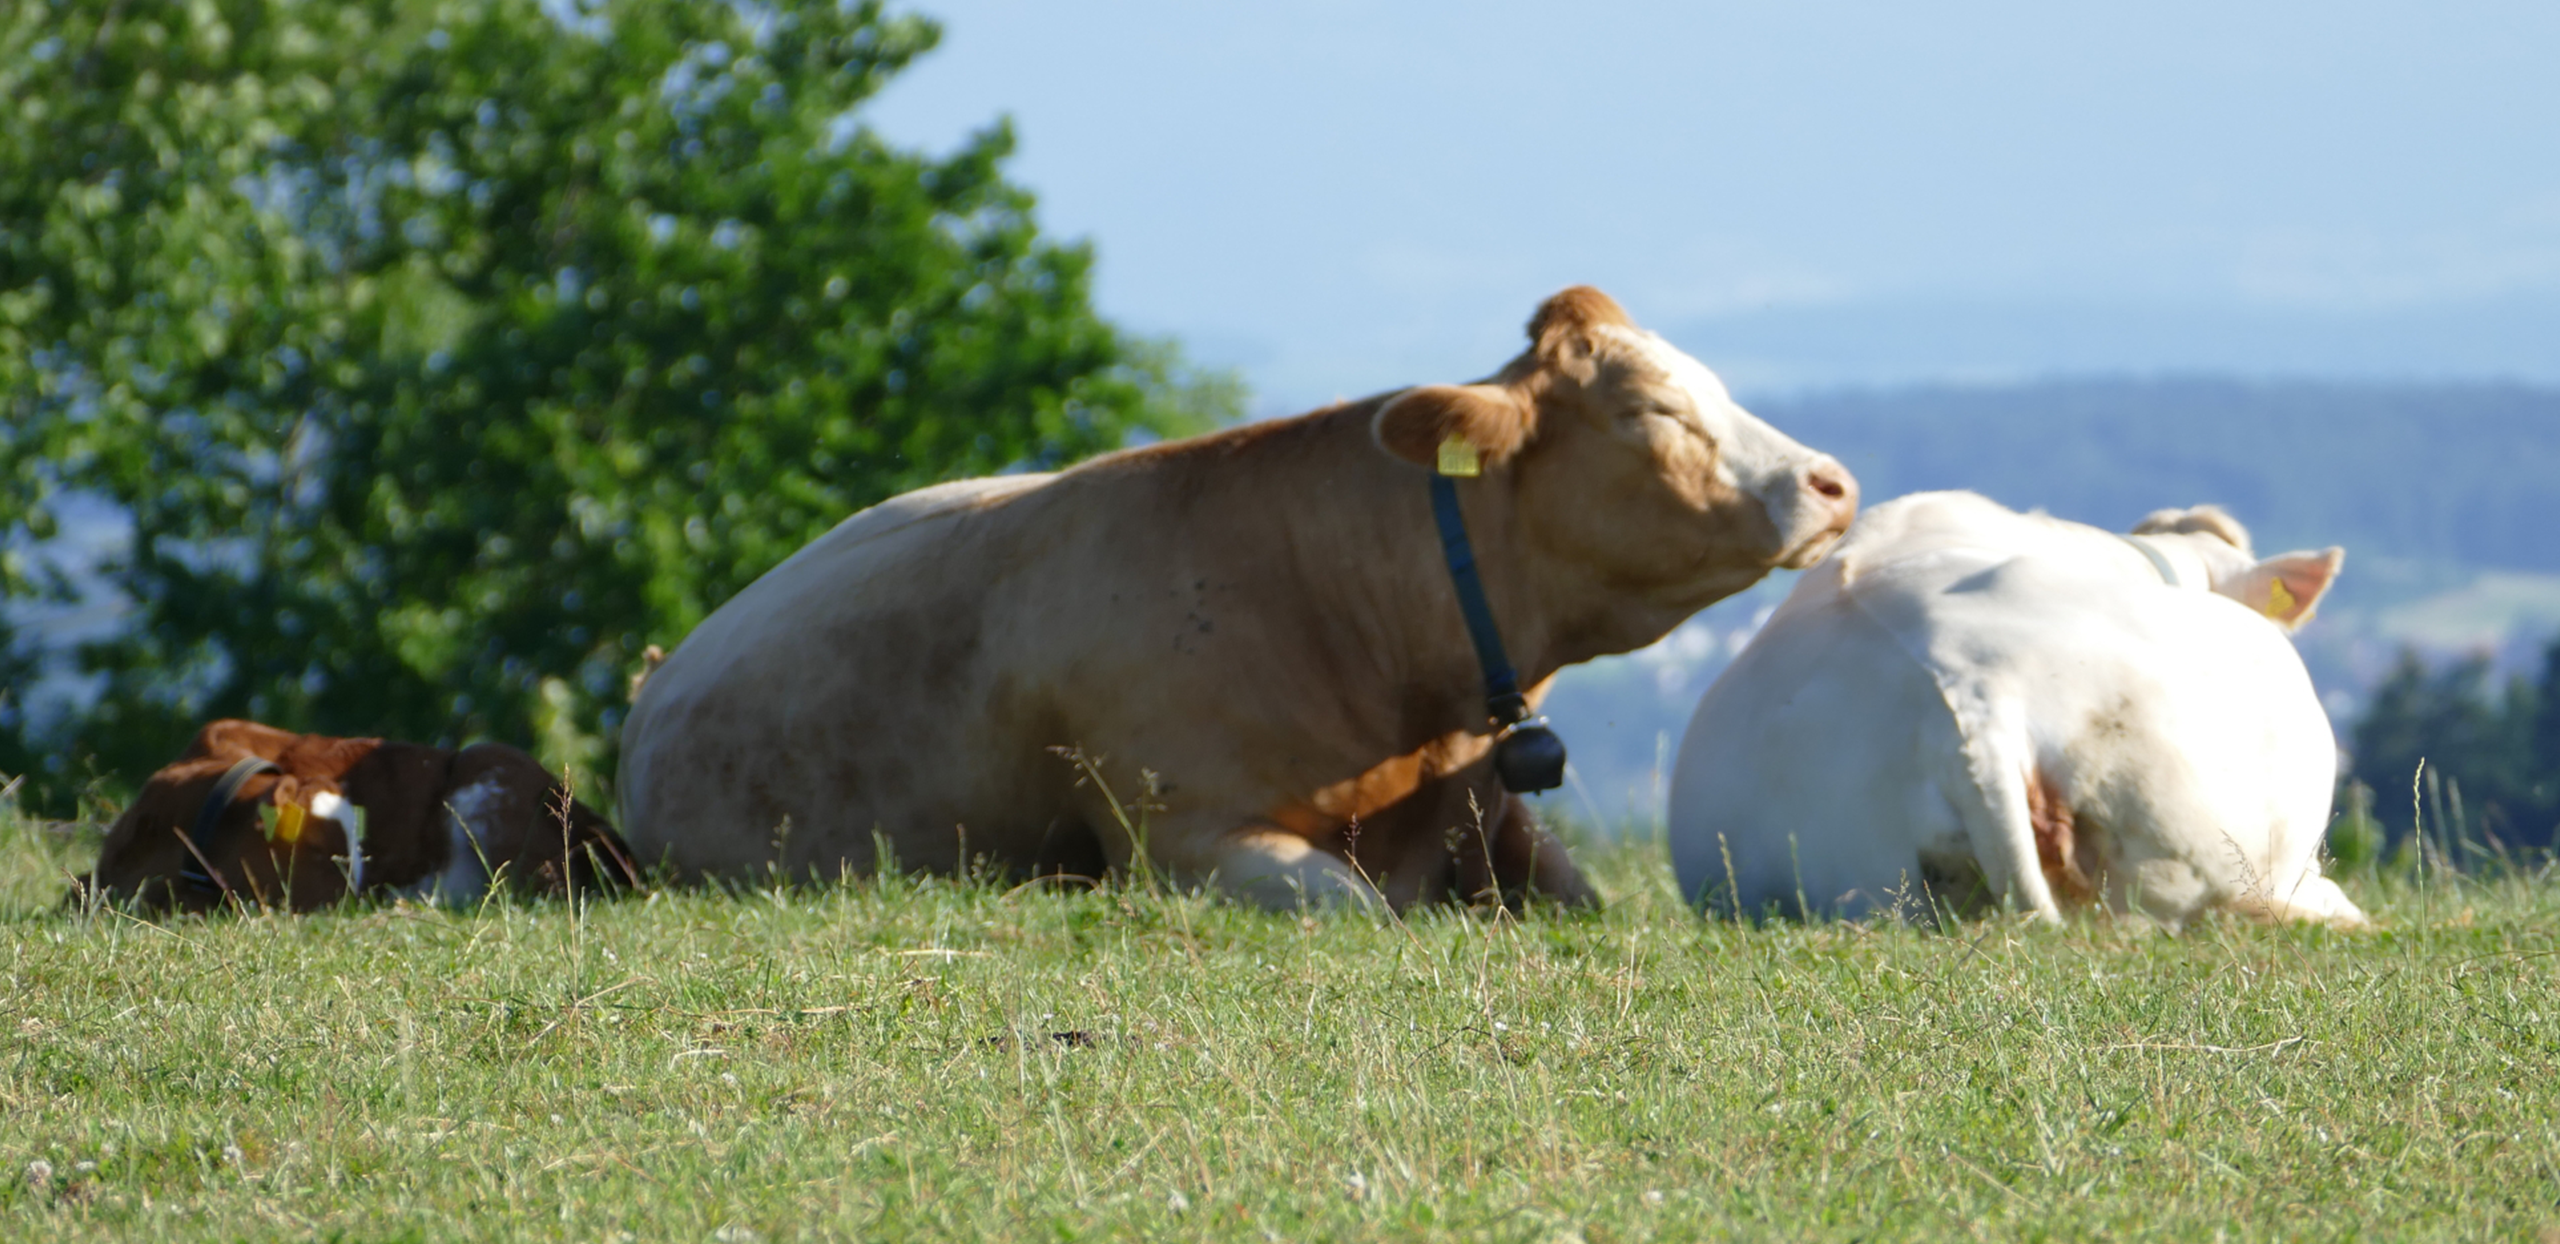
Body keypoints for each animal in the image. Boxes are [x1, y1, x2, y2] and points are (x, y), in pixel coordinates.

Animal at [619, 293, 1863, 911]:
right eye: (1651, 408)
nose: (1832, 483)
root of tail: (657, 681)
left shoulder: (1499, 819)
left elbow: (1583, 895)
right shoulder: (1182, 835)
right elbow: (1353, 903)